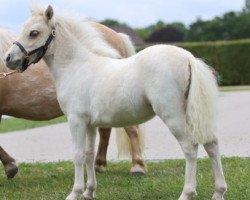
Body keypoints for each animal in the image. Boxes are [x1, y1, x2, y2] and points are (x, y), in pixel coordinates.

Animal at [0, 23, 146, 178]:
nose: (8, 59)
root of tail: (117, 35)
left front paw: (10, 166)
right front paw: (10, 167)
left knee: (131, 129)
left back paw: (137, 166)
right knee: (106, 130)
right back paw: (99, 164)